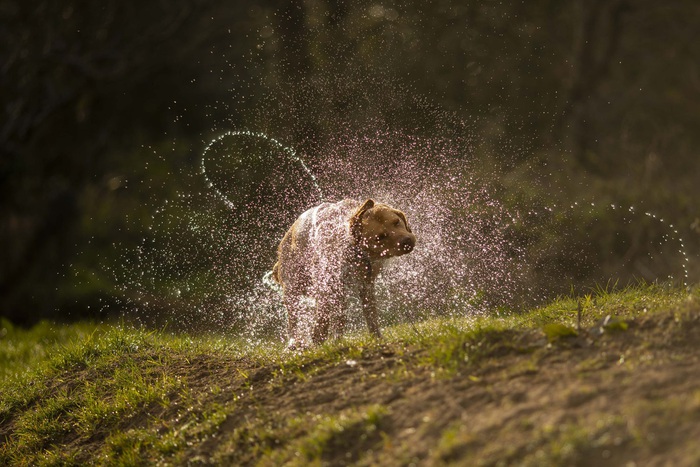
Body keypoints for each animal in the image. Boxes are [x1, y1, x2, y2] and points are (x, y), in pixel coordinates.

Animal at [272, 199, 416, 350]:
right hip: (293, 288)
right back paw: (295, 343)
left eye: (396, 222)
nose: (407, 241)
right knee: (294, 320)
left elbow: (370, 315)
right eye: (380, 237)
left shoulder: (366, 284)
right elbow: (324, 320)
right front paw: (318, 343)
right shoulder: (327, 283)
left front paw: (377, 338)